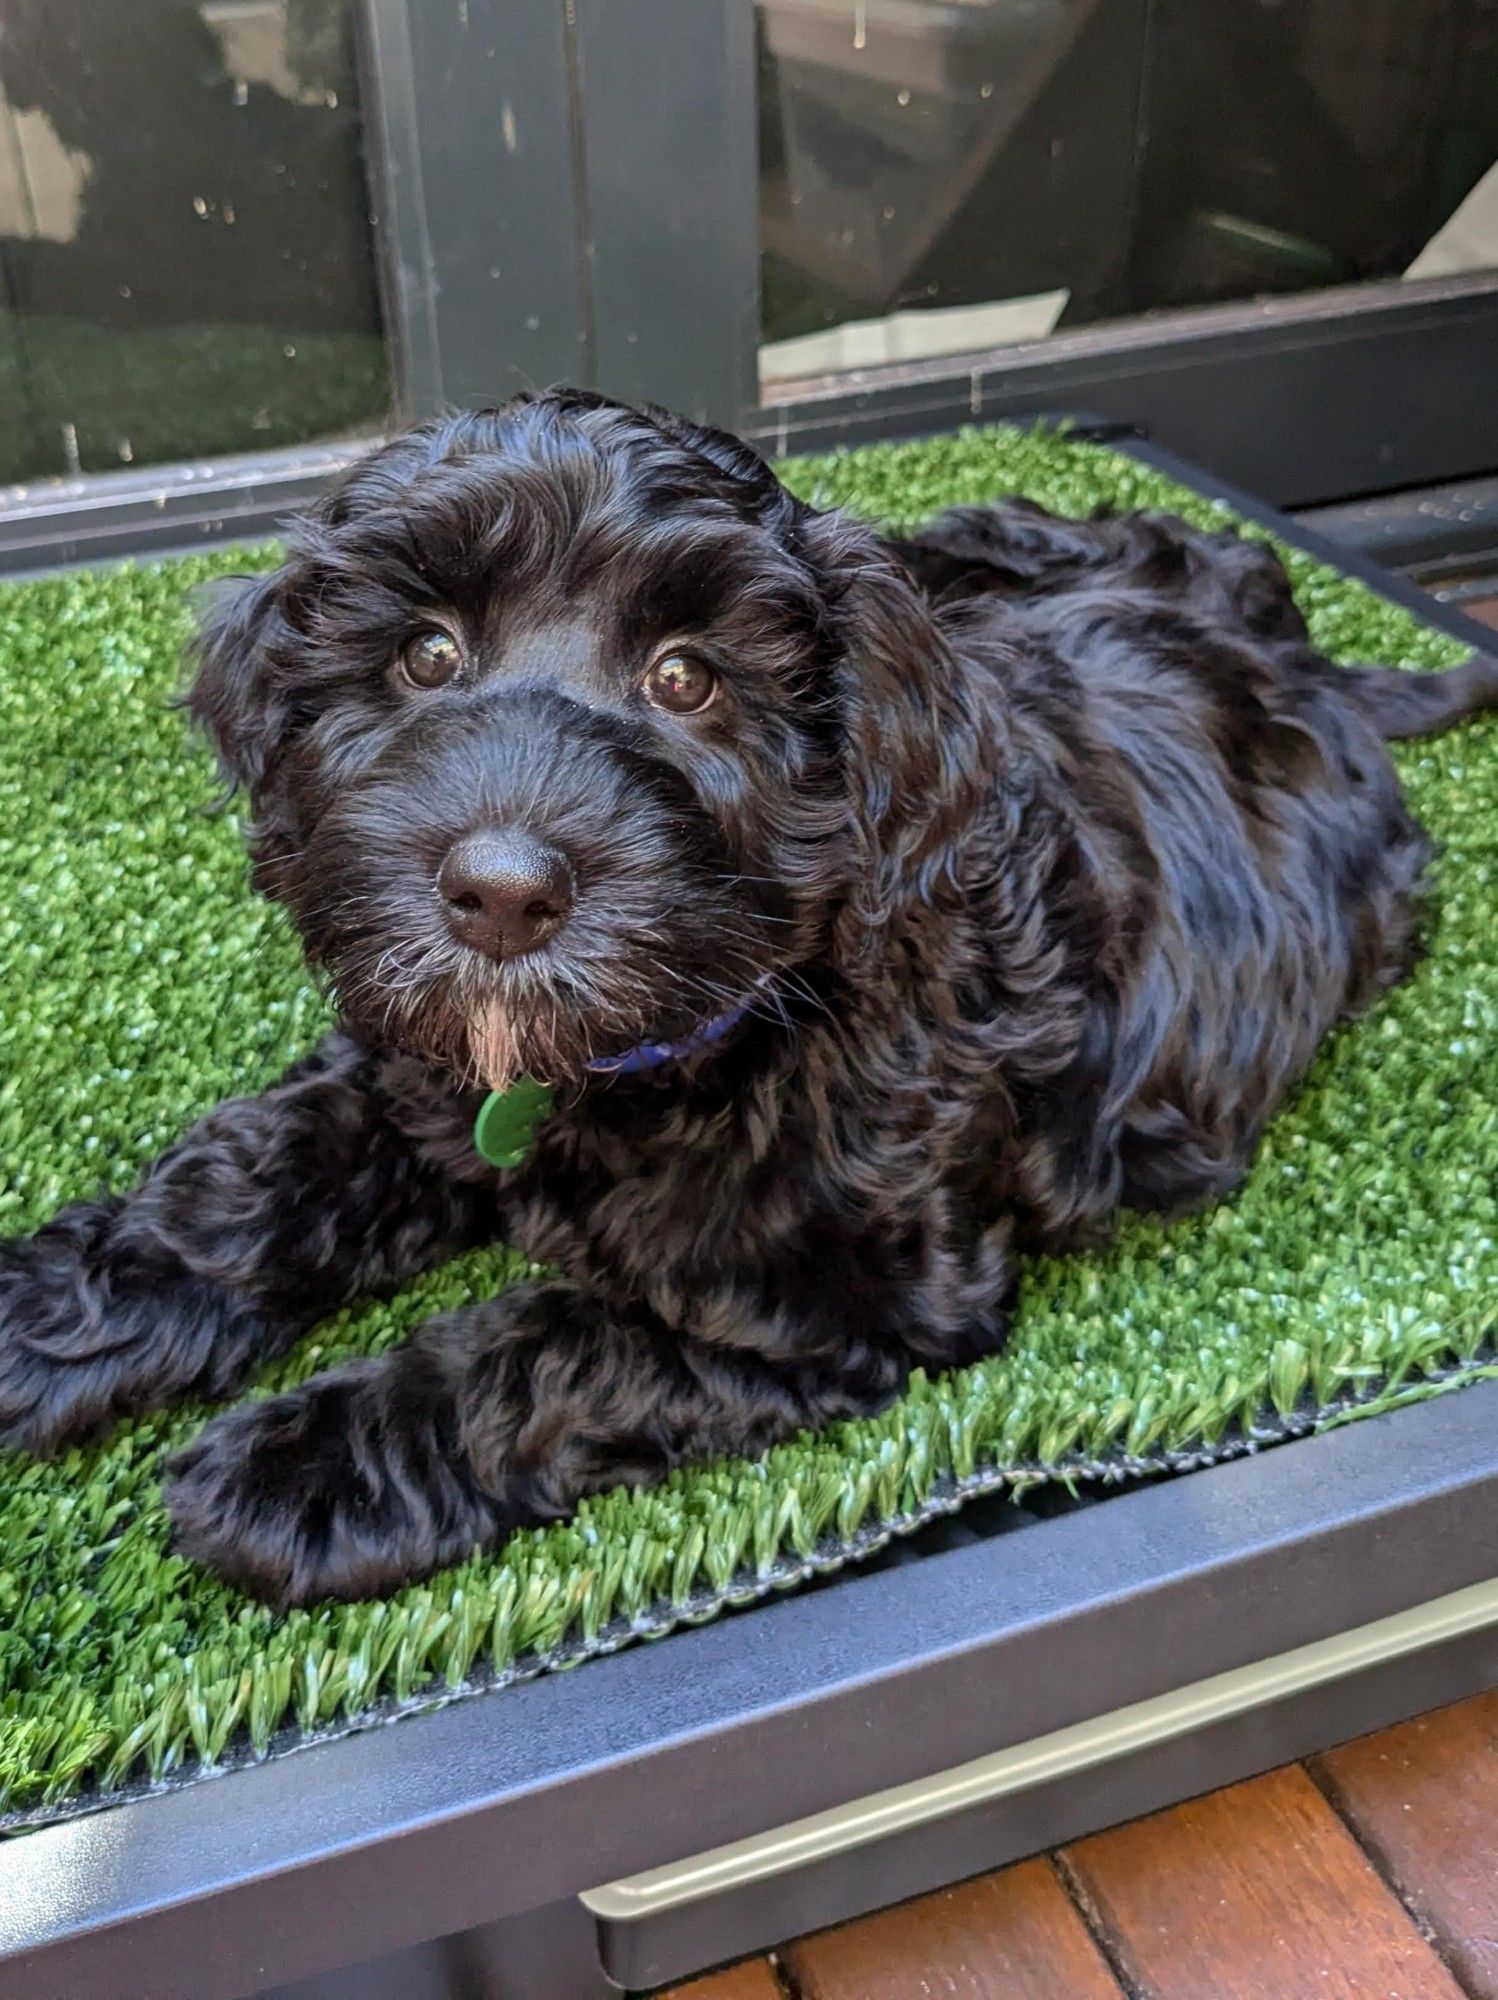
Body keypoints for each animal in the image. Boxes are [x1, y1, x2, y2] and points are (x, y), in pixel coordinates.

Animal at [2, 394, 1496, 1608]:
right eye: (424, 656)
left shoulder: (846, 1293)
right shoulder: (412, 1055)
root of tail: (1298, 653)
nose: (497, 894)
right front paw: (47, 1307)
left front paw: (304, 1465)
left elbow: (555, 1349)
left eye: (686, 680)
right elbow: (256, 1170)